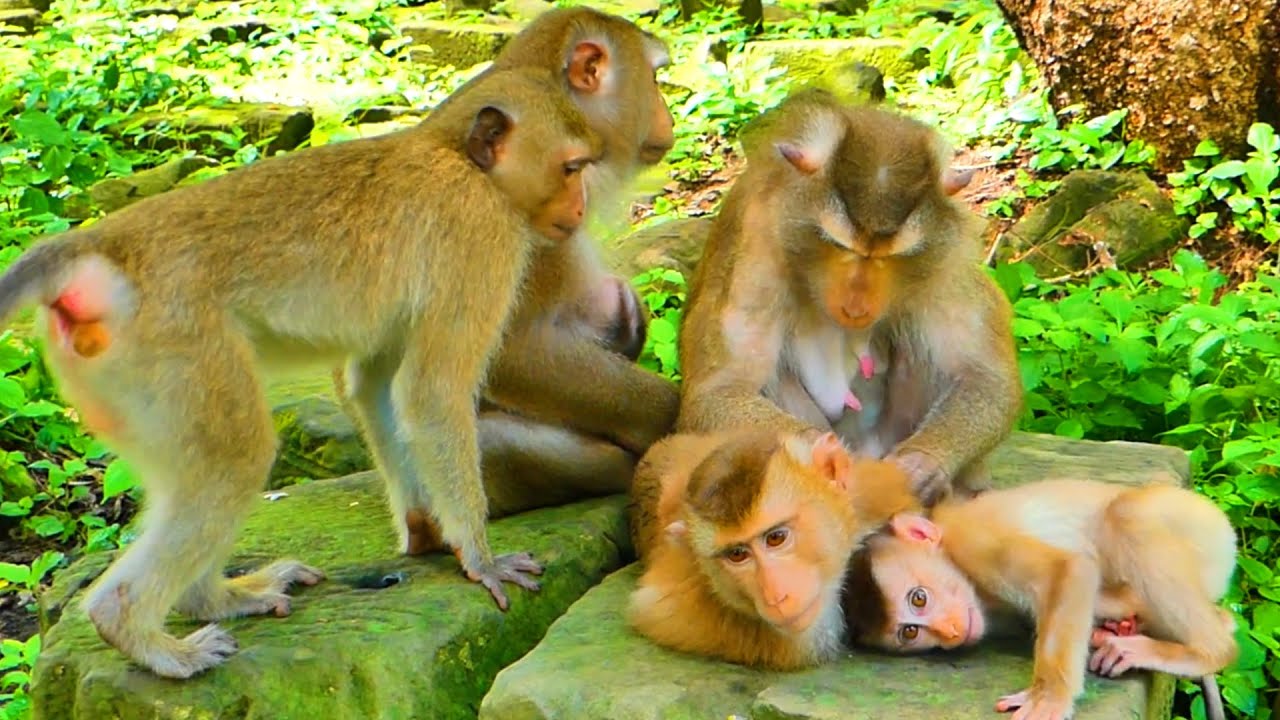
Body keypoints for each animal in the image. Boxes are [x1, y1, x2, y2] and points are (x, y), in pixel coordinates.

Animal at [0, 67, 602, 679]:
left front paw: (423, 530)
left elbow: (376, 385)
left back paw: (213, 599)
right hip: (176, 348)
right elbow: (431, 394)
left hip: (119, 377)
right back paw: (137, 630)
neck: (459, 156)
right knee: (235, 459)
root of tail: (99, 247)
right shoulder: (479, 240)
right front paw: (480, 559)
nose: (581, 208)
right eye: (571, 168)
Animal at [676, 89, 1019, 505]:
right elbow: (720, 392)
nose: (856, 307)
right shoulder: (757, 251)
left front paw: (922, 466)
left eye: (891, 258)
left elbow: (983, 378)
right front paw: (825, 460)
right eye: (840, 246)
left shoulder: (947, 258)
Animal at [841, 478, 1239, 720]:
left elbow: (1069, 569)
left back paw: (1208, 650)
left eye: (919, 598)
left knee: (1127, 517)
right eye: (910, 632)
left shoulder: (978, 545)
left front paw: (1050, 697)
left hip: (1198, 525)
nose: (949, 631)